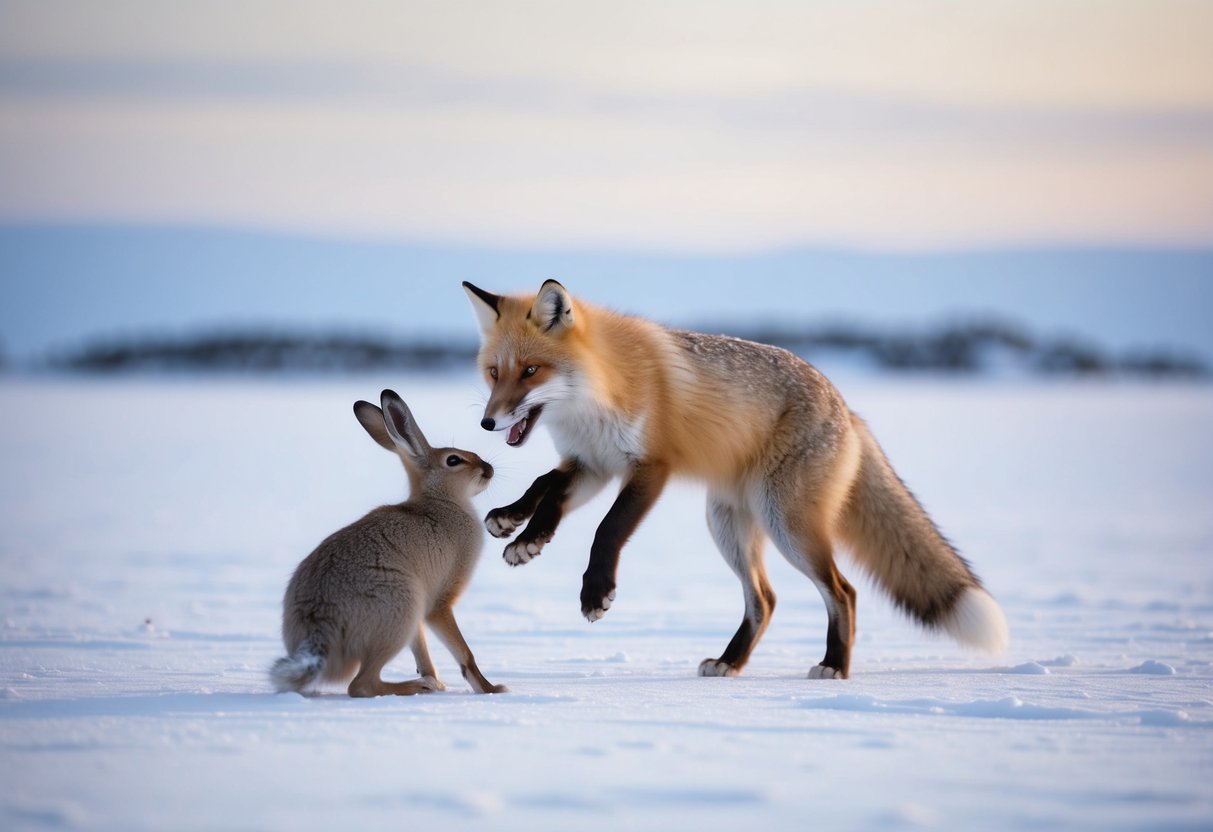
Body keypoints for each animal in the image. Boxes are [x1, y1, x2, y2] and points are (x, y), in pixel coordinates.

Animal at [271, 389, 506, 697]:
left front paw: (439, 681)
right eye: (453, 460)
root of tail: (319, 625)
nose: (488, 469)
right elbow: (465, 654)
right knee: (361, 684)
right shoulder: (439, 602)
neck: (440, 501)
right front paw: (491, 689)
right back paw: (417, 687)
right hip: (399, 611)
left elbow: (423, 651)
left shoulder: (420, 616)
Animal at [462, 279, 1009, 679]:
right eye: (494, 373)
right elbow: (546, 487)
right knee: (764, 599)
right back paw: (731, 661)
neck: (599, 390)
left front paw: (595, 592)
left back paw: (834, 665)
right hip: (727, 523)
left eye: (530, 371)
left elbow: (606, 528)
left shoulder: (650, 466)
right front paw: (519, 528)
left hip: (786, 523)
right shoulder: (593, 463)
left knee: (844, 591)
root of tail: (848, 409)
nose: (487, 423)